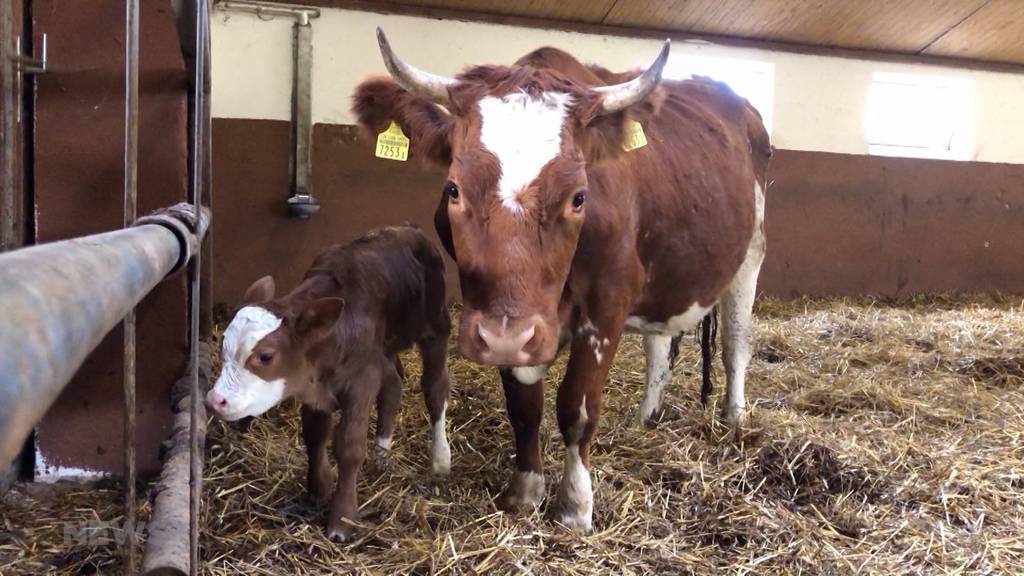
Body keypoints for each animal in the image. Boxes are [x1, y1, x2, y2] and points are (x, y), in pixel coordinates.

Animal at [205, 226, 450, 541]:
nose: (215, 401)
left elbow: (349, 445)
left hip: (435, 324)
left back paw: (440, 458)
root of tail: (408, 229)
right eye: (223, 343)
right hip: (384, 351)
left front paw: (342, 519)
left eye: (266, 356)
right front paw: (318, 489)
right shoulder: (315, 384)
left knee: (435, 387)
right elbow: (314, 434)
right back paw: (382, 453)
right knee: (394, 383)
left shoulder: (361, 380)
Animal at [352, 31, 770, 532]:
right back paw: (645, 417)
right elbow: (524, 406)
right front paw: (526, 490)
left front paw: (575, 505)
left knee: (735, 343)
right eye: (453, 189)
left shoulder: (606, 304)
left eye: (578, 197)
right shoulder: (513, 328)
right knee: (659, 347)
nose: (502, 336)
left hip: (750, 252)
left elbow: (578, 406)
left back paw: (734, 419)